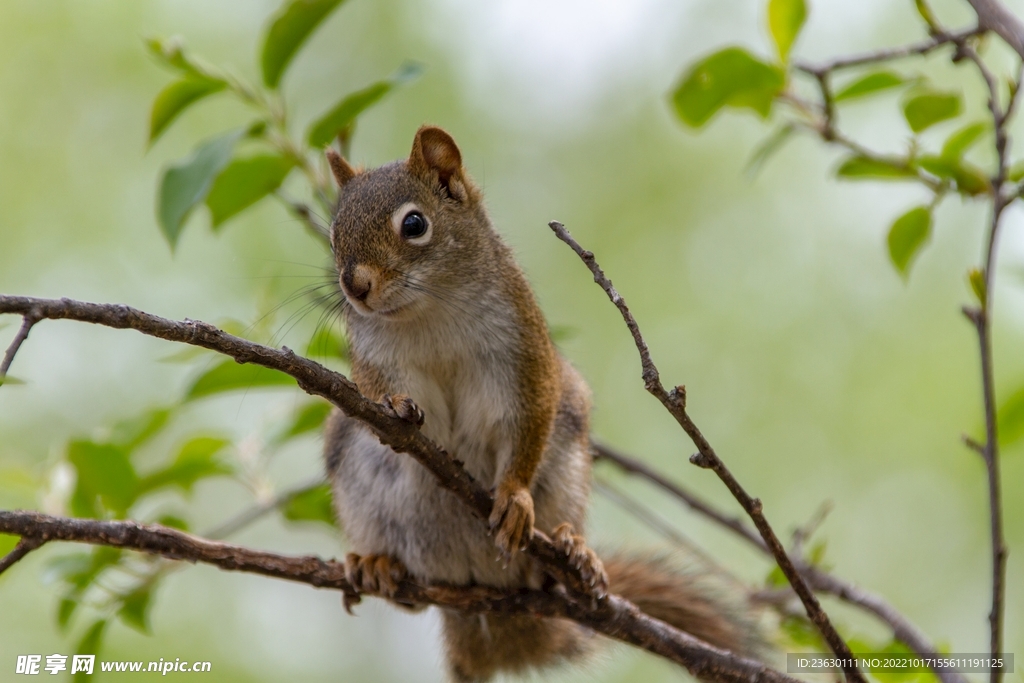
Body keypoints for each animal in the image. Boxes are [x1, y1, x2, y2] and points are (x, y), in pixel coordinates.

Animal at [319, 125, 761, 679]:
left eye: (414, 224)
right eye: (333, 234)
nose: (354, 286)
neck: (429, 313)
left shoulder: (524, 354)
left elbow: (528, 421)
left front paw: (514, 497)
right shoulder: (373, 358)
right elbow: (377, 398)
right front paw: (397, 410)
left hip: (567, 461)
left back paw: (574, 553)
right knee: (409, 595)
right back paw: (377, 564)